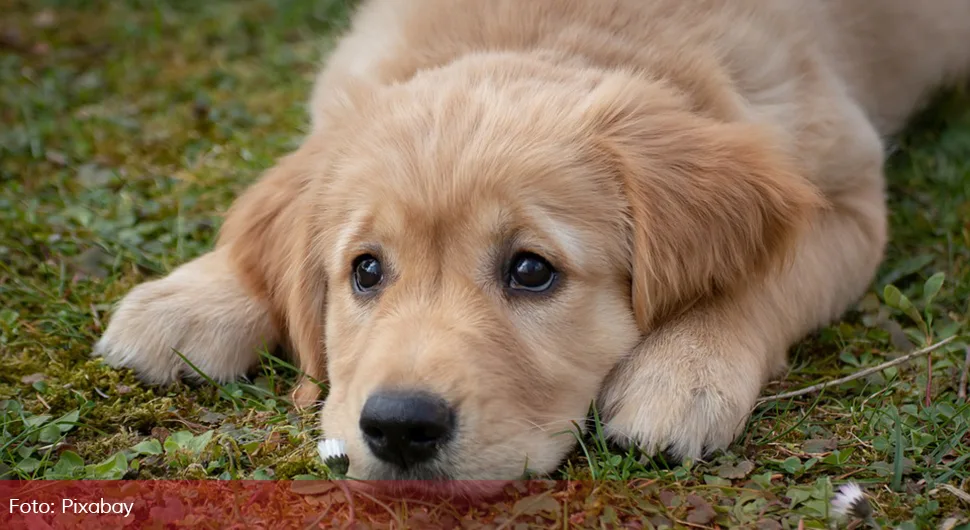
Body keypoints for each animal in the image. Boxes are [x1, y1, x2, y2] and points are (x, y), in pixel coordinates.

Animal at [92, 0, 968, 478]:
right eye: (365, 271)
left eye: (531, 271)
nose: (399, 428)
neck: (558, 27)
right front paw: (194, 297)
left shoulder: (845, 193)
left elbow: (763, 277)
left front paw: (685, 371)